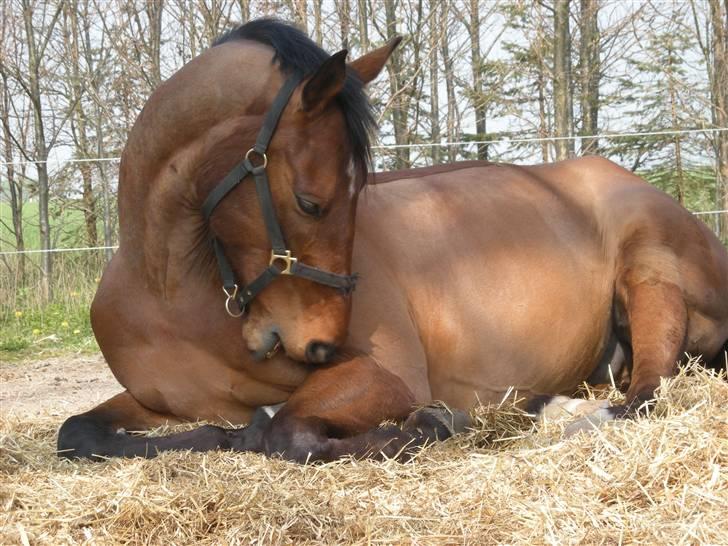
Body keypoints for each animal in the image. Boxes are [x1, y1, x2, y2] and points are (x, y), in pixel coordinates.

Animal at [58, 19, 728, 460]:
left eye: (358, 194)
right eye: (312, 202)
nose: (323, 345)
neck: (172, 292)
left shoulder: (386, 376)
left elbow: (285, 433)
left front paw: (436, 423)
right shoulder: (157, 401)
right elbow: (78, 432)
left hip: (651, 280)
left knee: (645, 394)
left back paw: (560, 412)